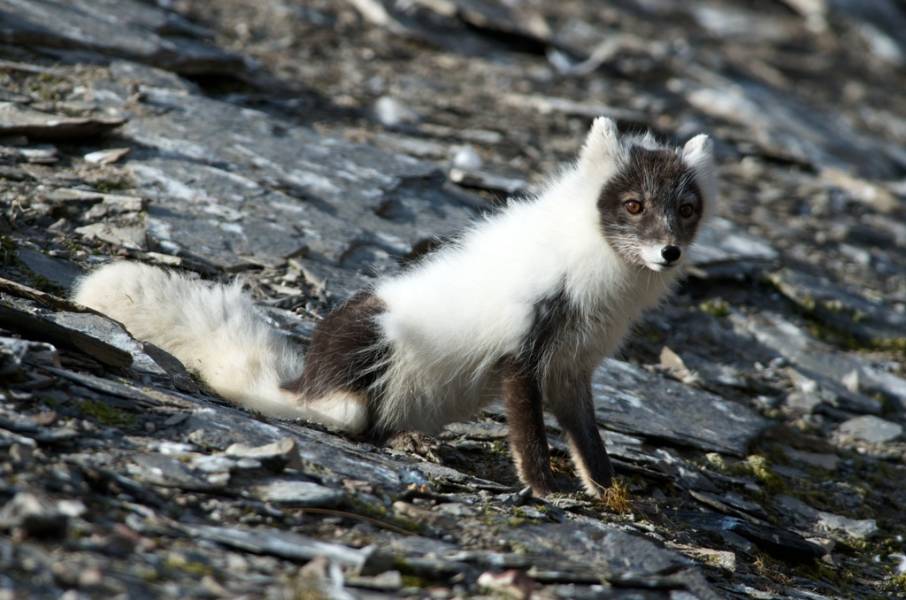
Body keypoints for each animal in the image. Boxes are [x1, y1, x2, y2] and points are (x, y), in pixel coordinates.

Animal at [73, 117, 716, 498]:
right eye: (633, 205)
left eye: (686, 209)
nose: (669, 251)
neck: (598, 276)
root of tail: (304, 378)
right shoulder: (521, 352)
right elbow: (530, 437)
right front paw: (543, 490)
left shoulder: (572, 367)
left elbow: (588, 441)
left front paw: (609, 495)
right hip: (367, 339)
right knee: (343, 414)